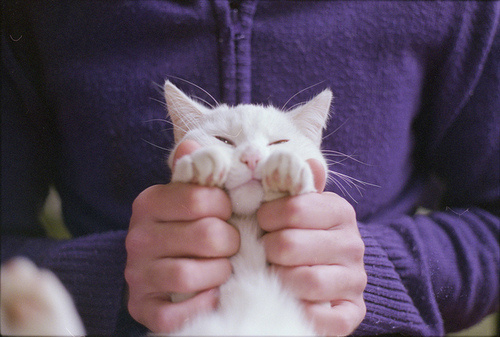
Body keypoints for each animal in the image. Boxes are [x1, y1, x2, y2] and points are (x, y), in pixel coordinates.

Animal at [164, 80, 332, 334]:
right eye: (223, 140)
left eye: (279, 142)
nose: (252, 157)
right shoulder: (181, 310)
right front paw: (197, 166)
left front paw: (287, 169)